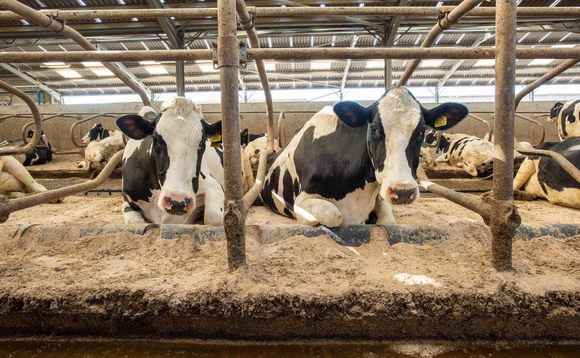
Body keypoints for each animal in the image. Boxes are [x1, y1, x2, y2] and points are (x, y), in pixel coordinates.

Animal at [115, 97, 233, 227]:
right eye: (155, 139)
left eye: (202, 142)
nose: (177, 202)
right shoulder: (126, 197)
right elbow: (134, 221)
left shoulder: (214, 186)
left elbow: (213, 217)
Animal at [260, 86, 468, 227]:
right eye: (374, 128)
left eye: (422, 131)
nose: (402, 192)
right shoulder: (302, 203)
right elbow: (335, 216)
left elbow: (388, 220)